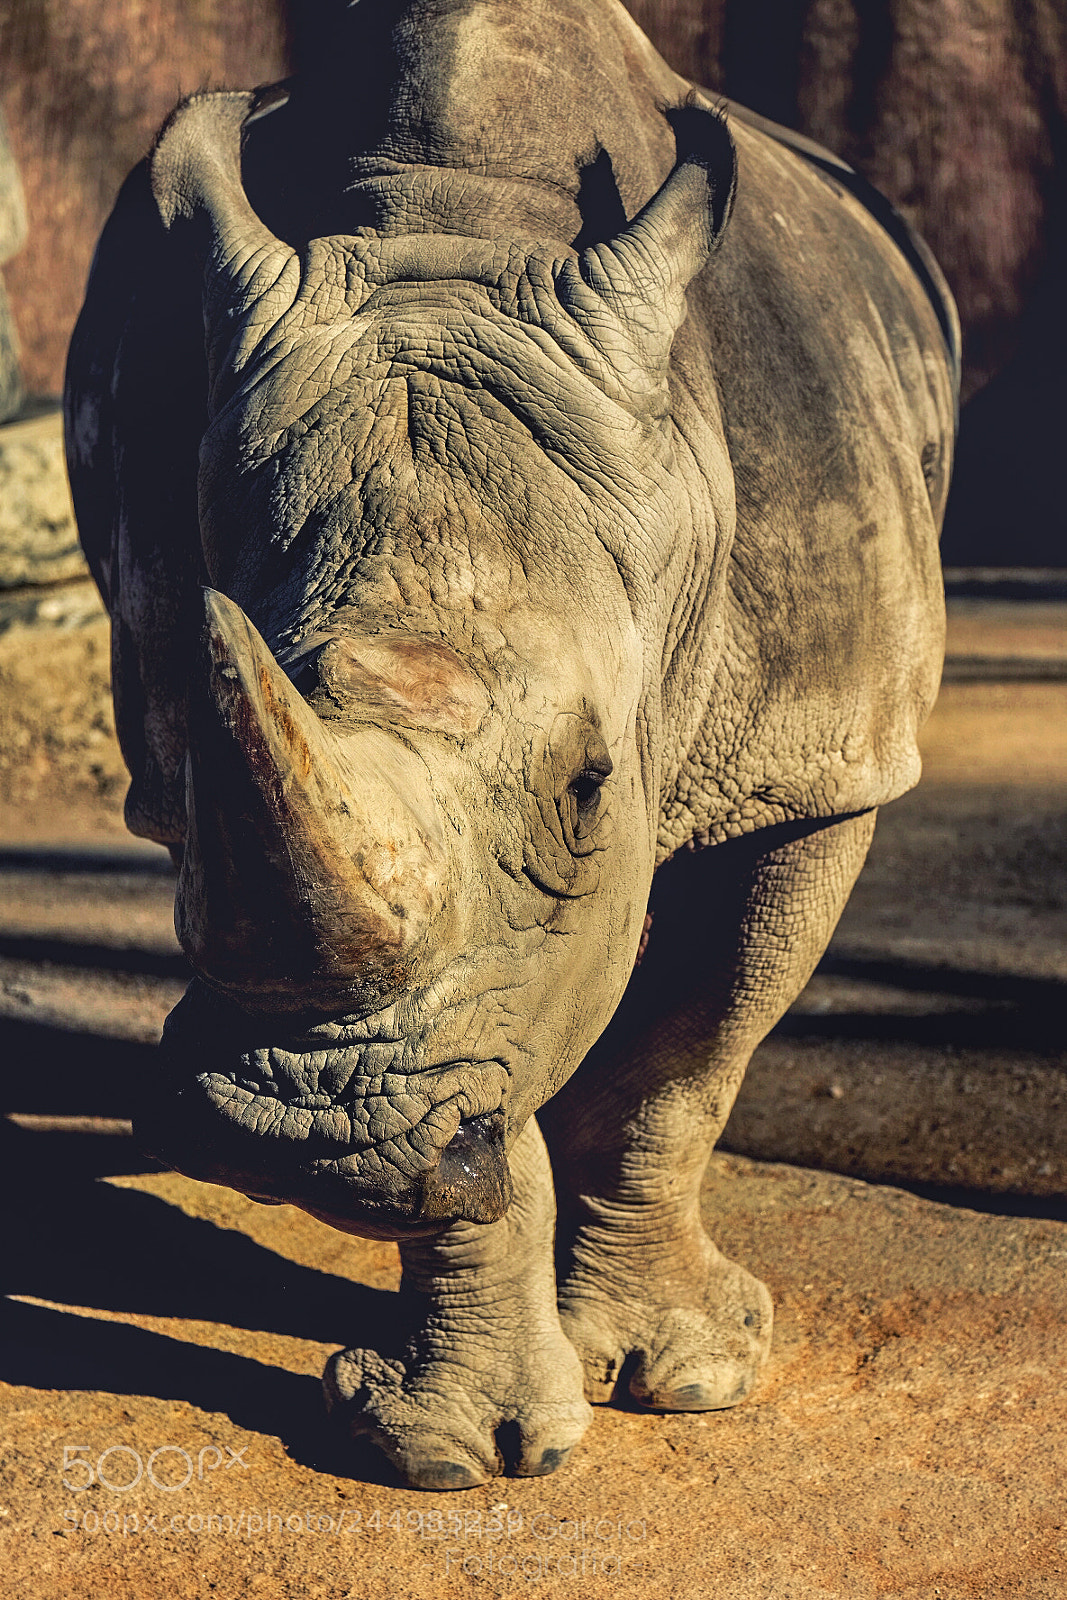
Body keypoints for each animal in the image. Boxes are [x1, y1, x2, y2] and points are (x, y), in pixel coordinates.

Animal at [64, 0, 958, 1489]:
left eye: (590, 789)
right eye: (190, 780)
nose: (304, 1140)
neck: (459, 228)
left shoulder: (821, 756)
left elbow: (687, 1048)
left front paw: (689, 1376)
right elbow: (497, 1091)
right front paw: (454, 1451)